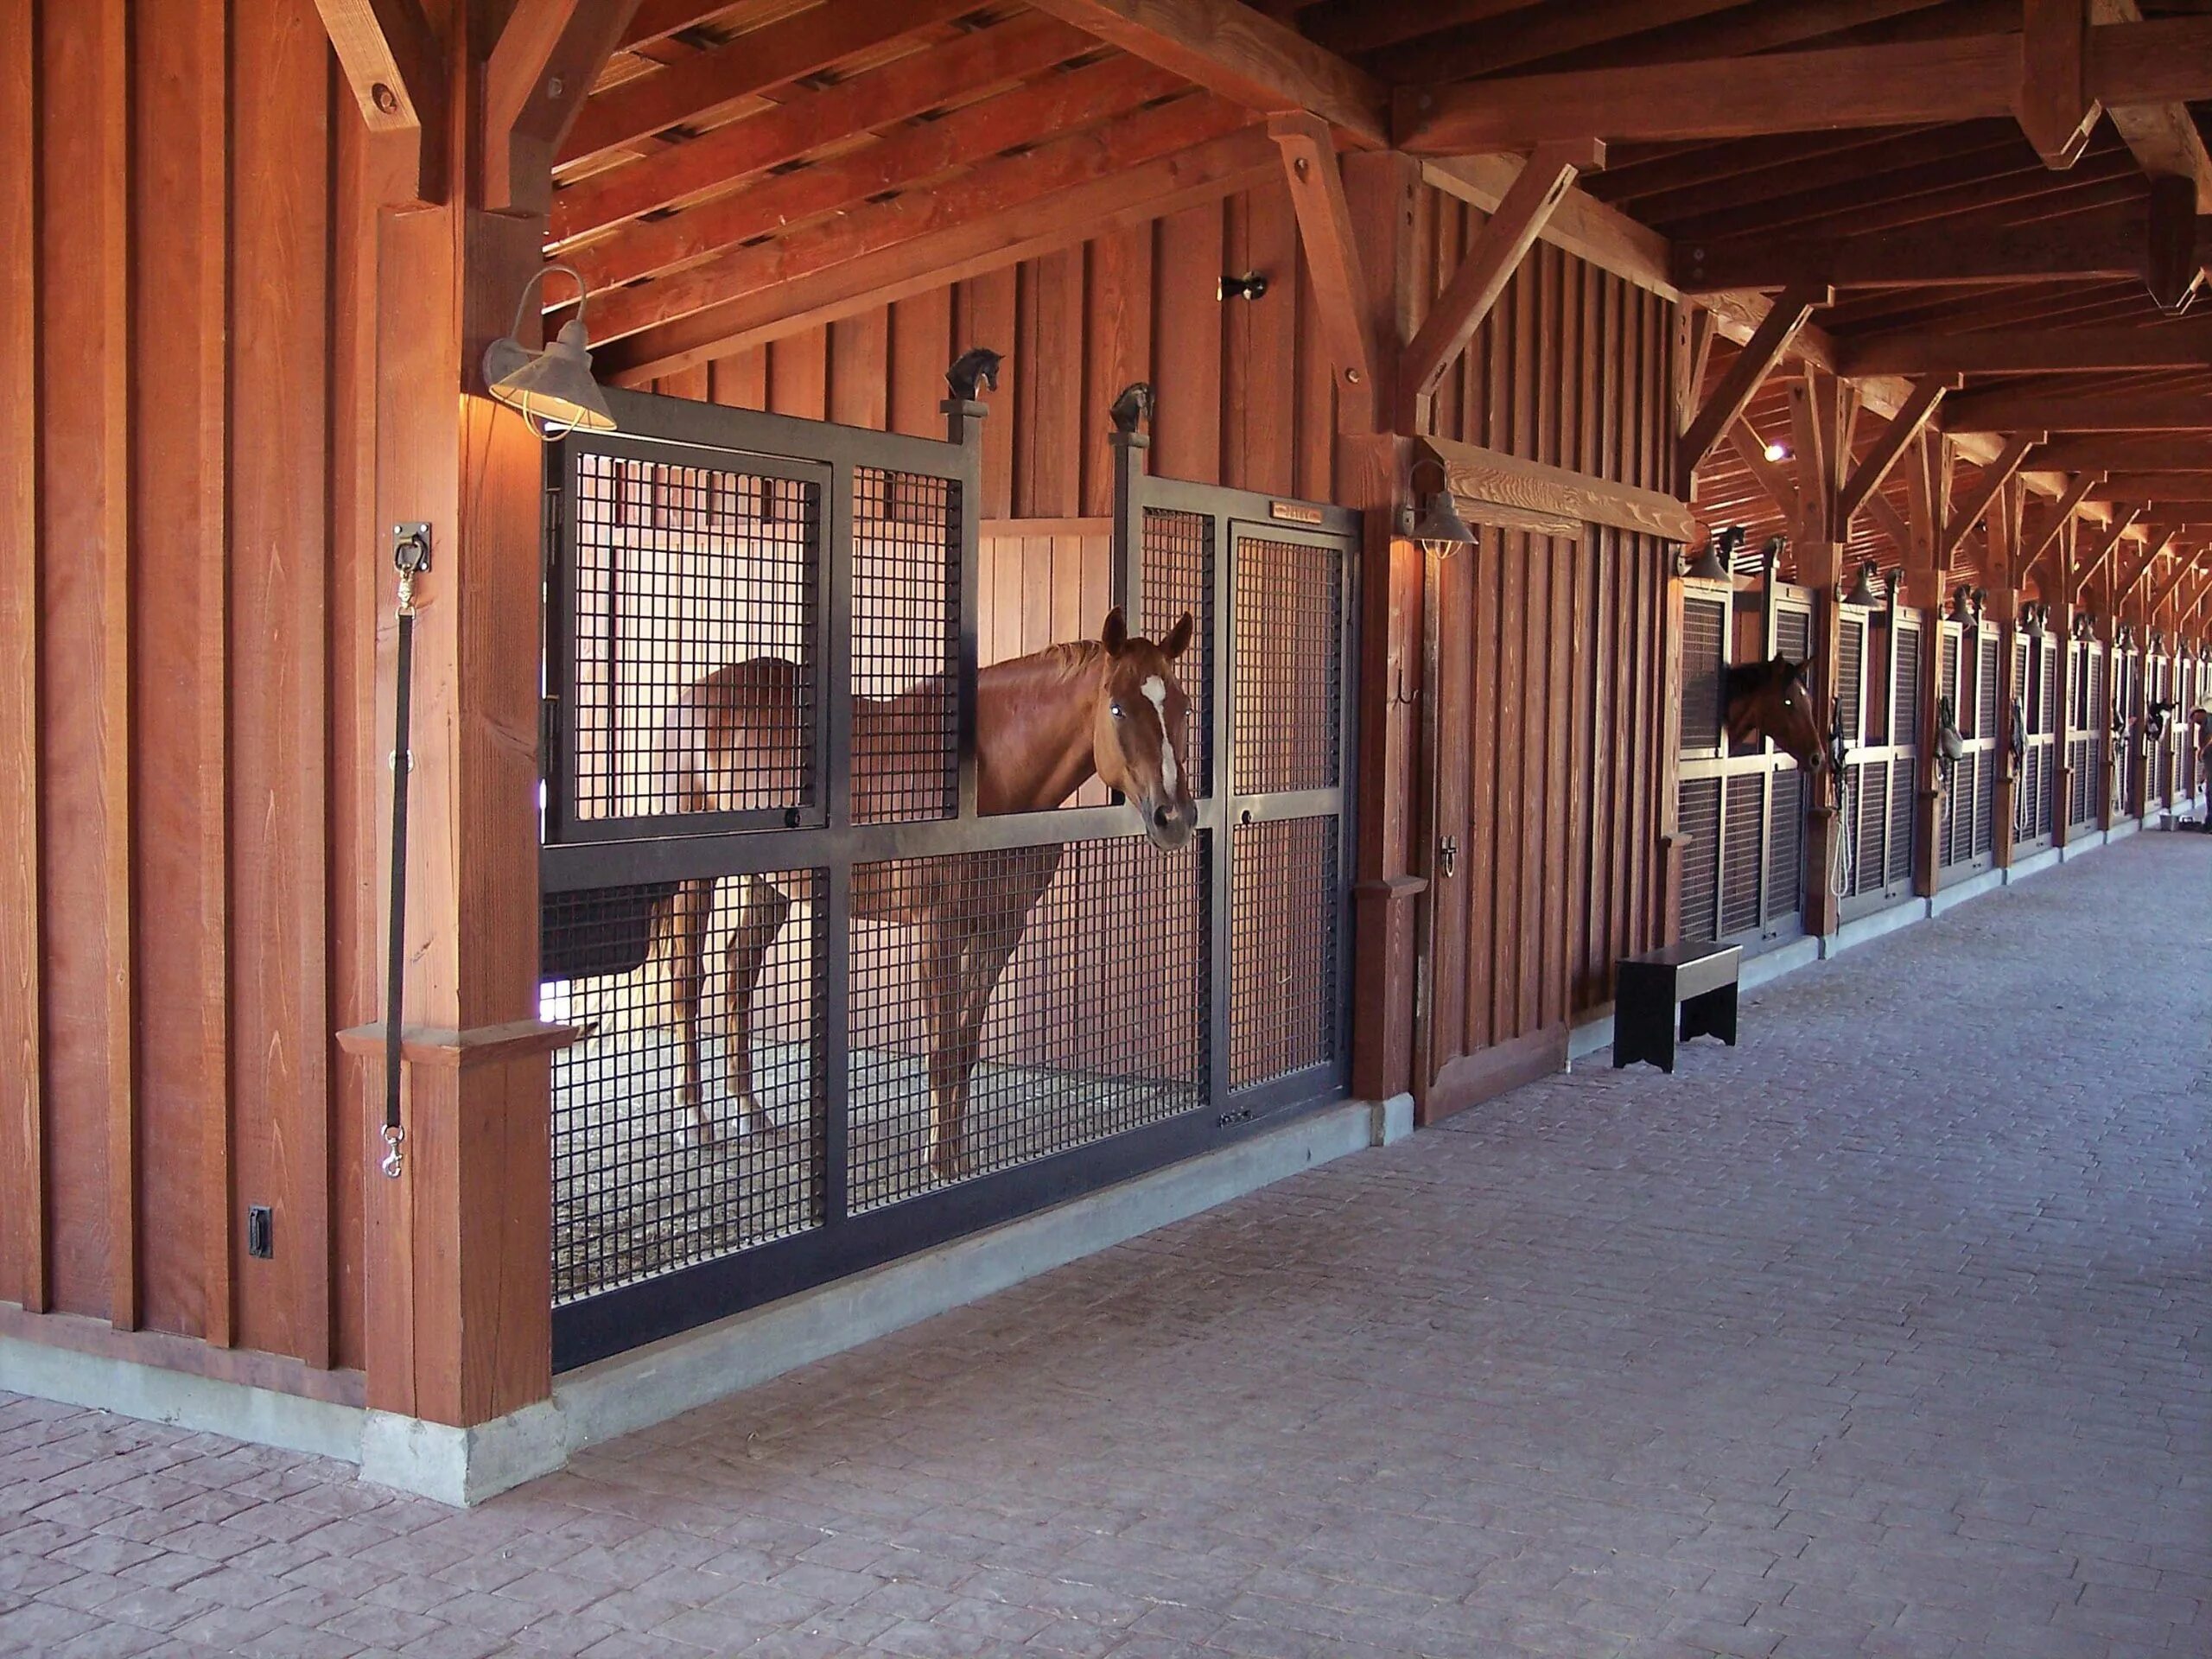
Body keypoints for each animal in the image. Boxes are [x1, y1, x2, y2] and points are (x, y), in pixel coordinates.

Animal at [650, 614, 1194, 1185]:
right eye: (1117, 708)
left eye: (1183, 705)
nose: (1174, 818)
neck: (986, 780)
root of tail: (689, 701)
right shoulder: (938, 932)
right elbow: (940, 1051)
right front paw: (939, 1162)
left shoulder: (1001, 930)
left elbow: (965, 1049)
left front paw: (957, 1157)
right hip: (695, 880)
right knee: (687, 979)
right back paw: (696, 1121)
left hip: (772, 881)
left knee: (739, 969)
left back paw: (752, 1115)